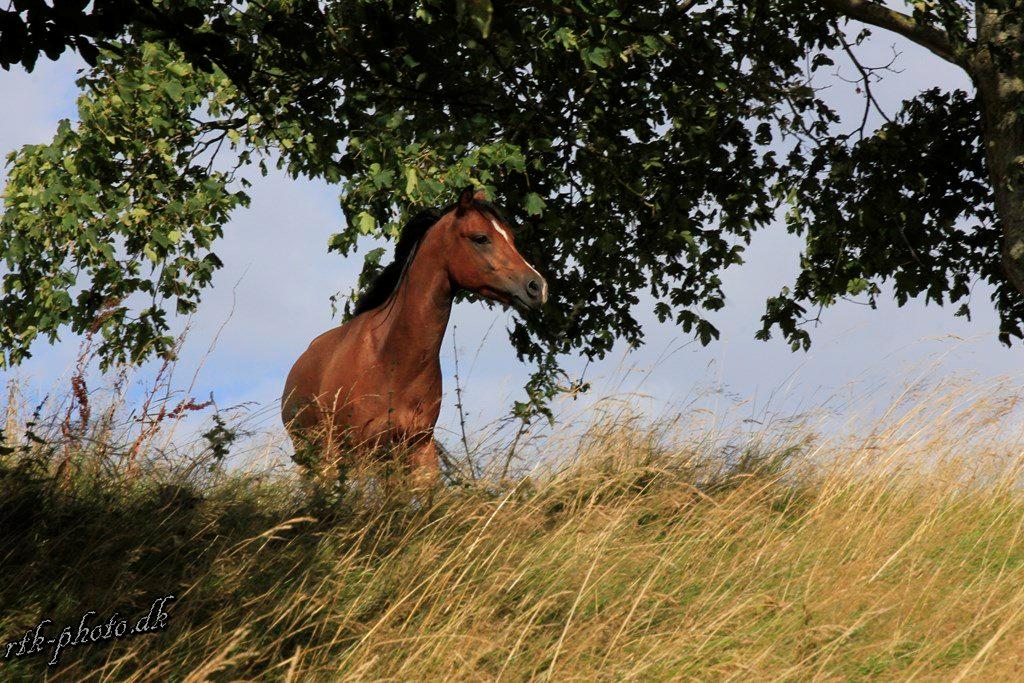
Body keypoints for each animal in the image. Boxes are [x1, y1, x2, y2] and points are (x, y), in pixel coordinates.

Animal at [281, 187, 548, 487]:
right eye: (481, 238)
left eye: (511, 237)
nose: (537, 286)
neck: (391, 359)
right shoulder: (359, 450)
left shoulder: (418, 449)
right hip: (321, 455)